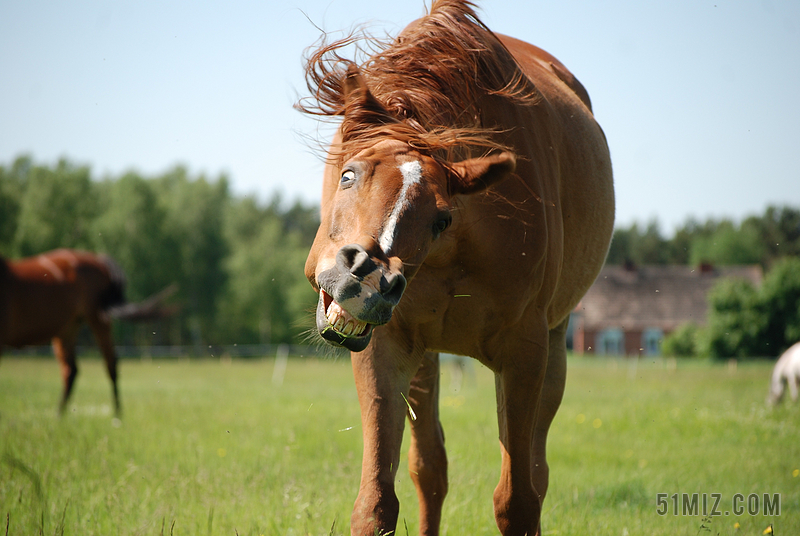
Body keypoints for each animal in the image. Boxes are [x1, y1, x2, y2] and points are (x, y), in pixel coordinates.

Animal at [0, 249, 173, 416]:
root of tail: (98, 260)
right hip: (68, 329)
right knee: (71, 370)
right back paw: (59, 415)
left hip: (96, 318)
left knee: (109, 364)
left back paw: (117, 415)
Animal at [300, 1, 612, 536]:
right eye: (349, 175)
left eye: (441, 218)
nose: (367, 279)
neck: (455, 251)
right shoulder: (385, 347)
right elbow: (378, 502)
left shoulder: (524, 353)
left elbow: (518, 500)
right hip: (425, 358)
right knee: (431, 470)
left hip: (553, 350)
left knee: (536, 471)